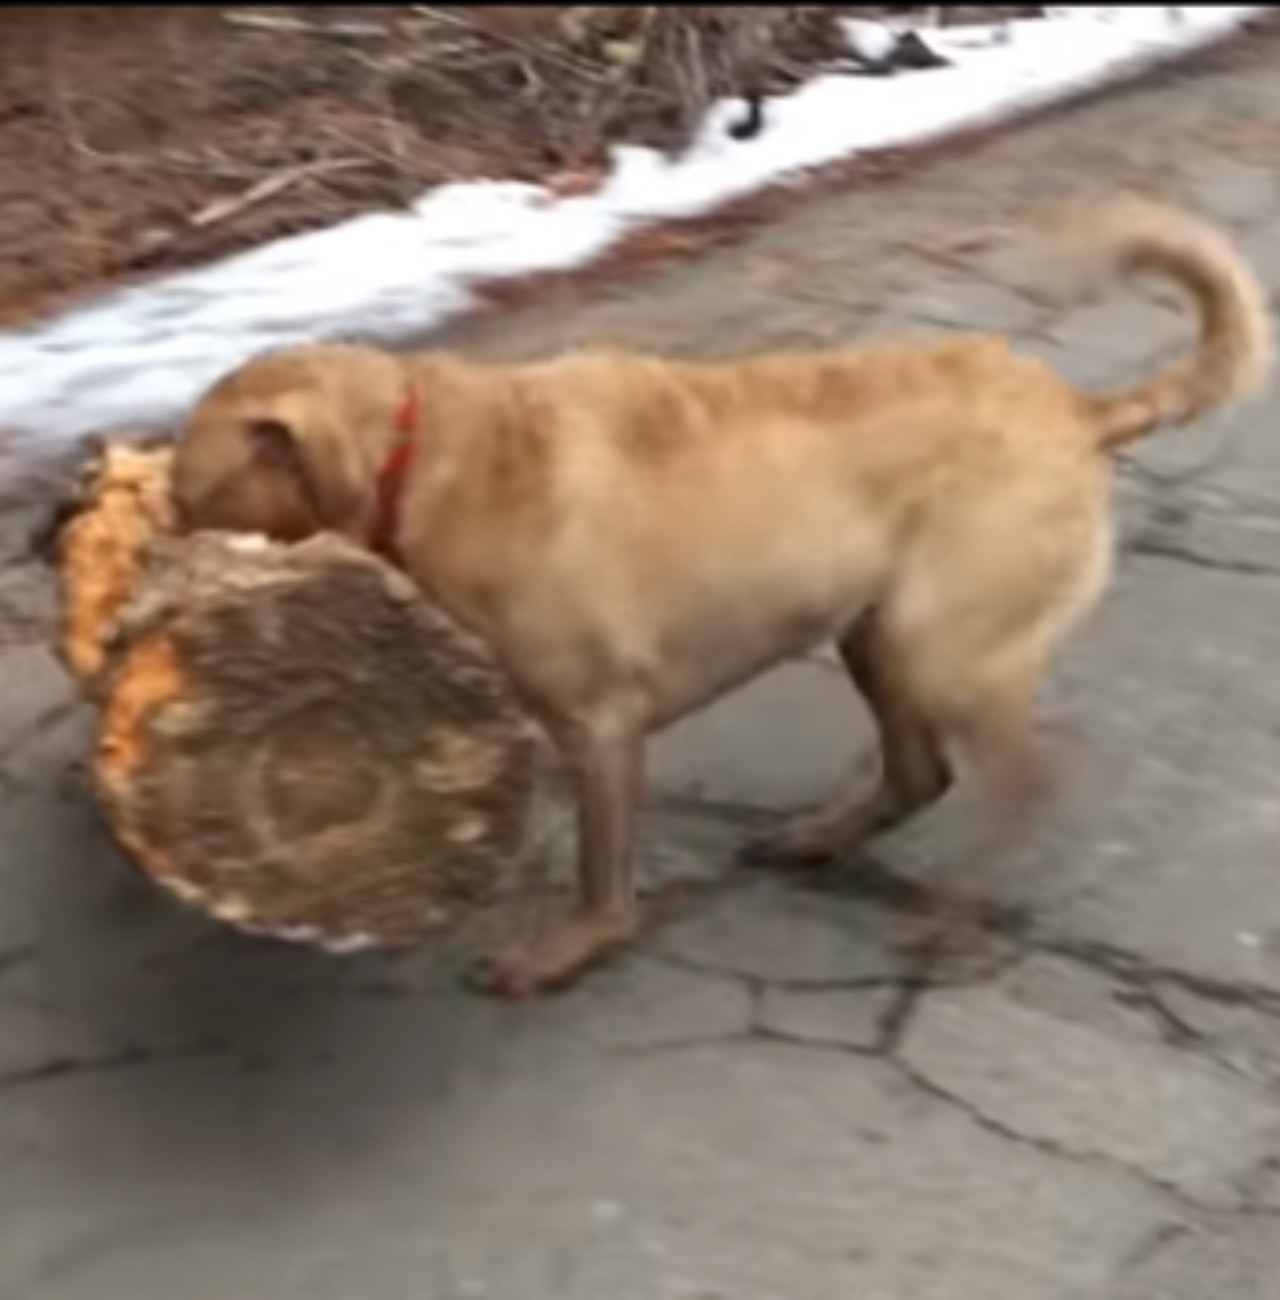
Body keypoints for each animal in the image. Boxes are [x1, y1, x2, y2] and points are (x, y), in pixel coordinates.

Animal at [167, 200, 1268, 993]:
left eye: (186, 490)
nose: (130, 535)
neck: (422, 447)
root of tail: (1076, 409)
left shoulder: (600, 723)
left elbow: (600, 872)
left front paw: (567, 949)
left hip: (940, 638)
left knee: (1017, 785)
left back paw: (952, 920)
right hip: (876, 635)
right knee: (922, 773)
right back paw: (821, 838)